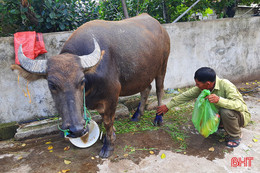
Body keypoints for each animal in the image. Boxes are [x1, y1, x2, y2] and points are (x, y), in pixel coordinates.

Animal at [11, 13, 171, 157]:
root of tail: (160, 27)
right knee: (146, 89)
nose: (75, 130)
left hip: (163, 66)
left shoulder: (112, 95)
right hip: (143, 73)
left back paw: (158, 118)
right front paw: (110, 136)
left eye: (82, 81)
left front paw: (108, 145)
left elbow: (107, 121)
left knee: (159, 90)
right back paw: (137, 115)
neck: (90, 85)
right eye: (51, 85)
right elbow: (103, 117)